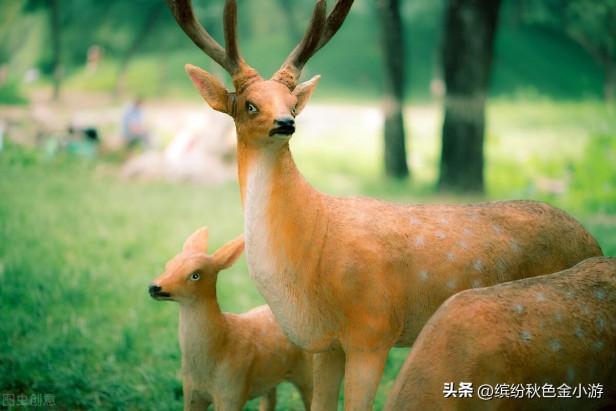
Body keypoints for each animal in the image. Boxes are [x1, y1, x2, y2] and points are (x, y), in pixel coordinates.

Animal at [166, 1, 604, 410]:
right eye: (250, 104)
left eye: (291, 101)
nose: (286, 123)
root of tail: (594, 241)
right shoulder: (326, 345)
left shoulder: (372, 328)